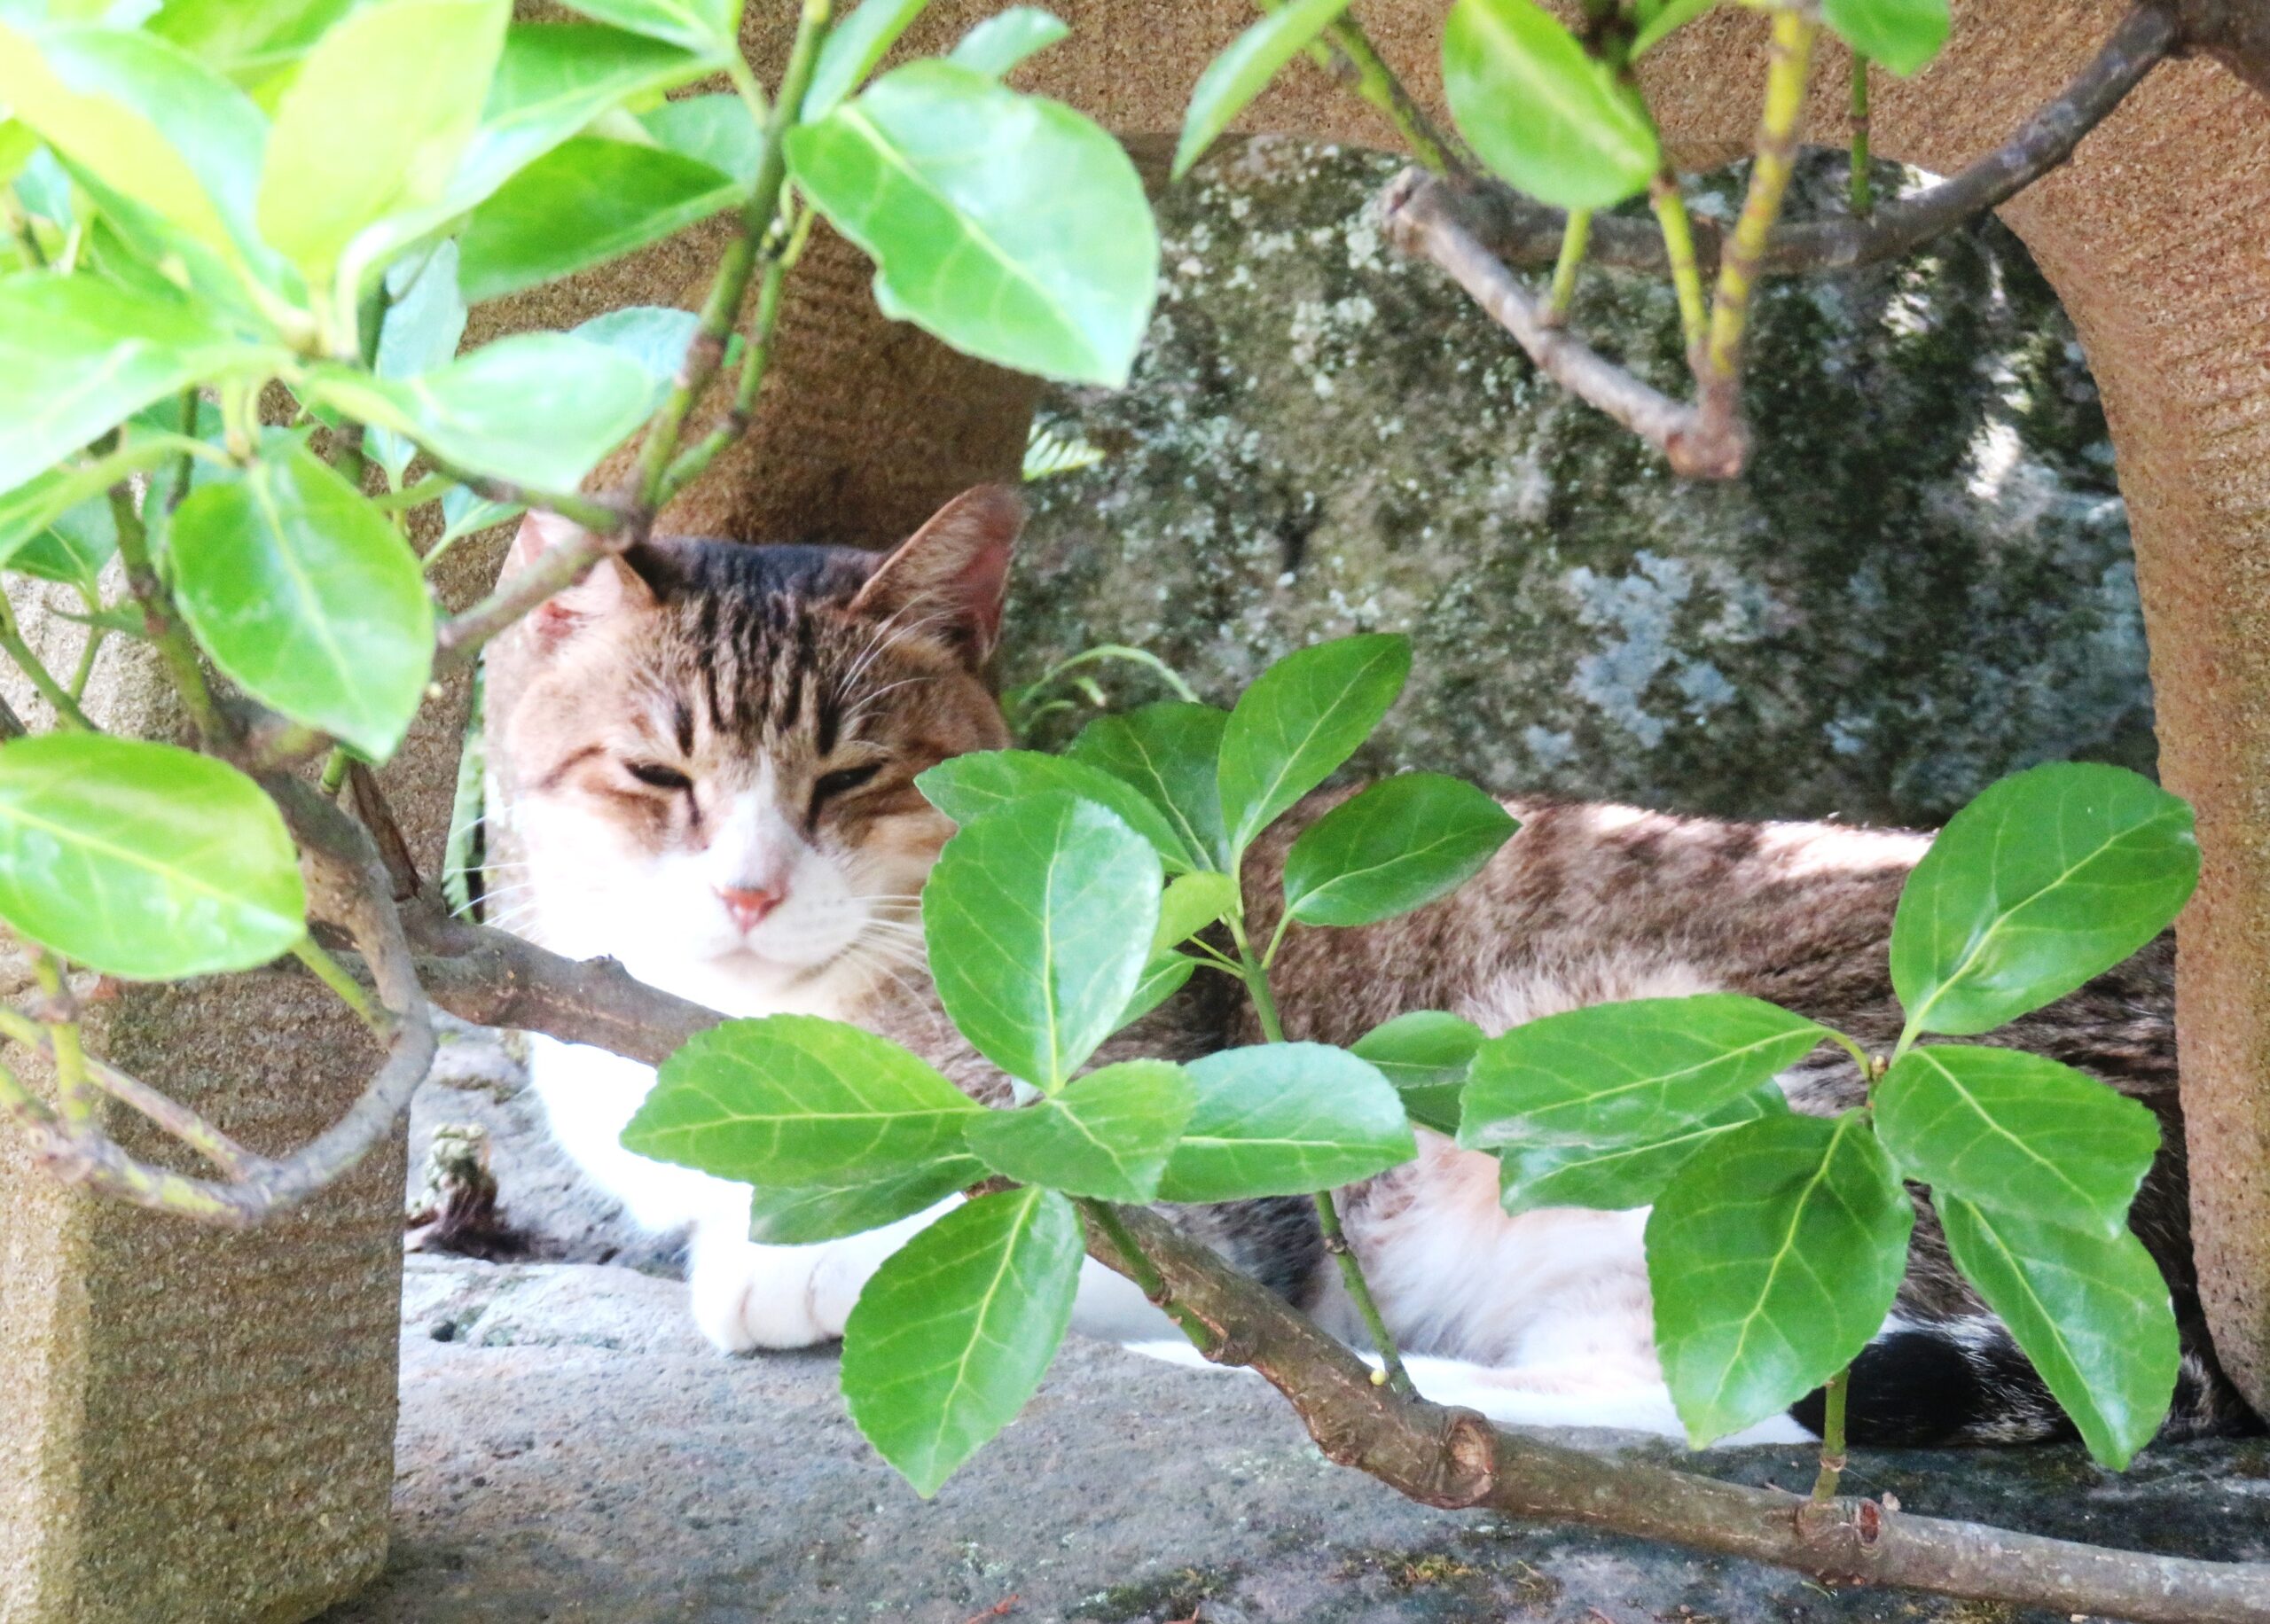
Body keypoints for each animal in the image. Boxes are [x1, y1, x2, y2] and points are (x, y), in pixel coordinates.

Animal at [492, 482, 2251, 1442]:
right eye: (656, 776)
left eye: (852, 779)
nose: (746, 890)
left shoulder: (1207, 1202)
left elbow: (1001, 1225)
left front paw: (789, 1260)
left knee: (1729, 1395)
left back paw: (1366, 1391)